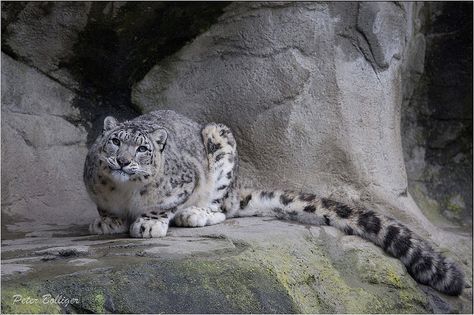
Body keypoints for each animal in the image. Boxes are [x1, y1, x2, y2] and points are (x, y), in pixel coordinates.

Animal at [83, 110, 464, 298]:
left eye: (142, 149)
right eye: (114, 141)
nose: (122, 160)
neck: (125, 193)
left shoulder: (184, 181)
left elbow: (165, 203)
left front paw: (149, 223)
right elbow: (103, 206)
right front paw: (107, 221)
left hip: (221, 142)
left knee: (222, 208)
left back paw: (195, 214)